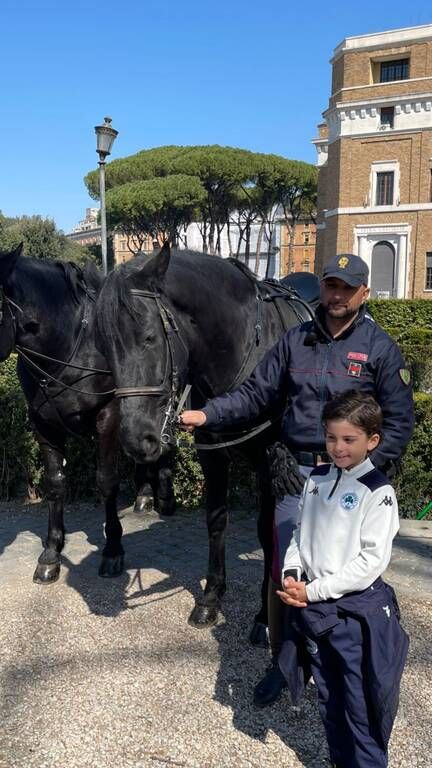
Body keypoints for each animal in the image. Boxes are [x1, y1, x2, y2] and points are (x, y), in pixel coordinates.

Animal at [0, 244, 176, 584]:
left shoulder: (110, 415)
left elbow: (106, 480)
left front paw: (113, 549)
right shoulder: (43, 423)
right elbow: (55, 482)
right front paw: (52, 550)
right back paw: (145, 493)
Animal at [94, 244, 314, 636]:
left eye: (149, 337)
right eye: (105, 345)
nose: (137, 439)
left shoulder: (268, 465)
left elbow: (267, 533)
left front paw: (264, 616)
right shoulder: (213, 457)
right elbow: (215, 521)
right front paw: (211, 597)